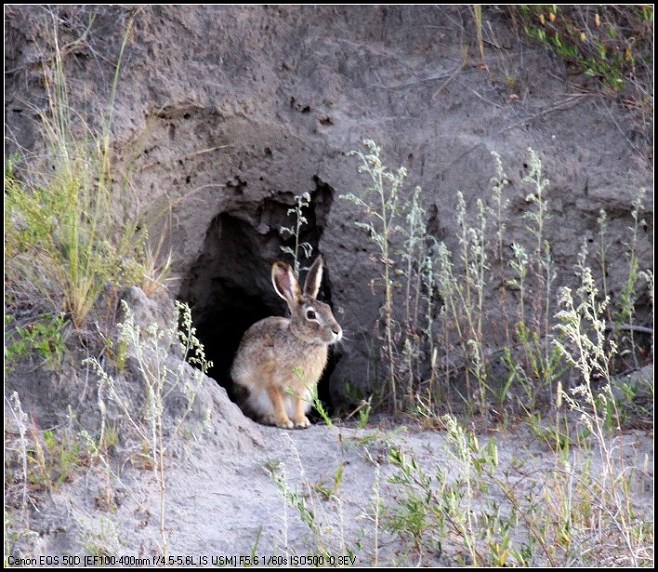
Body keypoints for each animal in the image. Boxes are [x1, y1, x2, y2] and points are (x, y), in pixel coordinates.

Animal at [229, 256, 340, 428]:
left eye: (328, 308)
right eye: (311, 315)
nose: (337, 331)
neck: (300, 339)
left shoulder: (301, 386)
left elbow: (298, 403)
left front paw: (301, 421)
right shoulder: (270, 381)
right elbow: (277, 401)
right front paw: (284, 422)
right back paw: (270, 418)